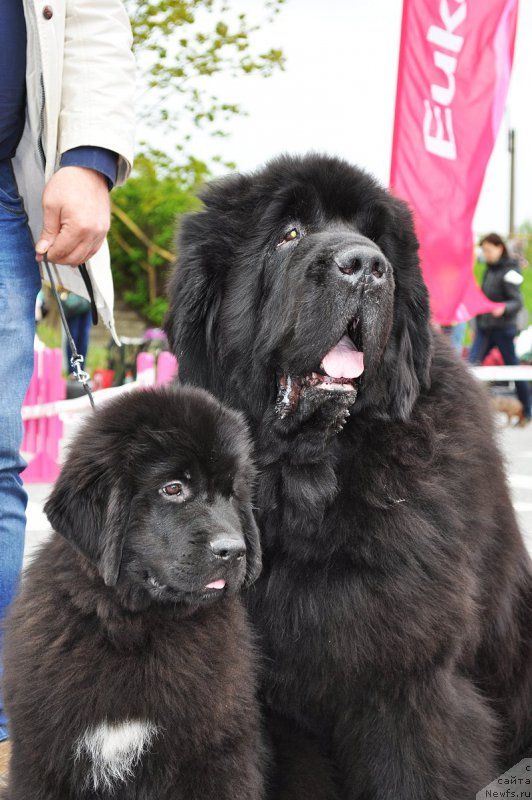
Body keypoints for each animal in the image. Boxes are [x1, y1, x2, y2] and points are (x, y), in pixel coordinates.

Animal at [2, 386, 264, 800]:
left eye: (231, 492)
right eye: (172, 488)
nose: (234, 550)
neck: (133, 626)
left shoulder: (215, 756)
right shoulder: (46, 759)